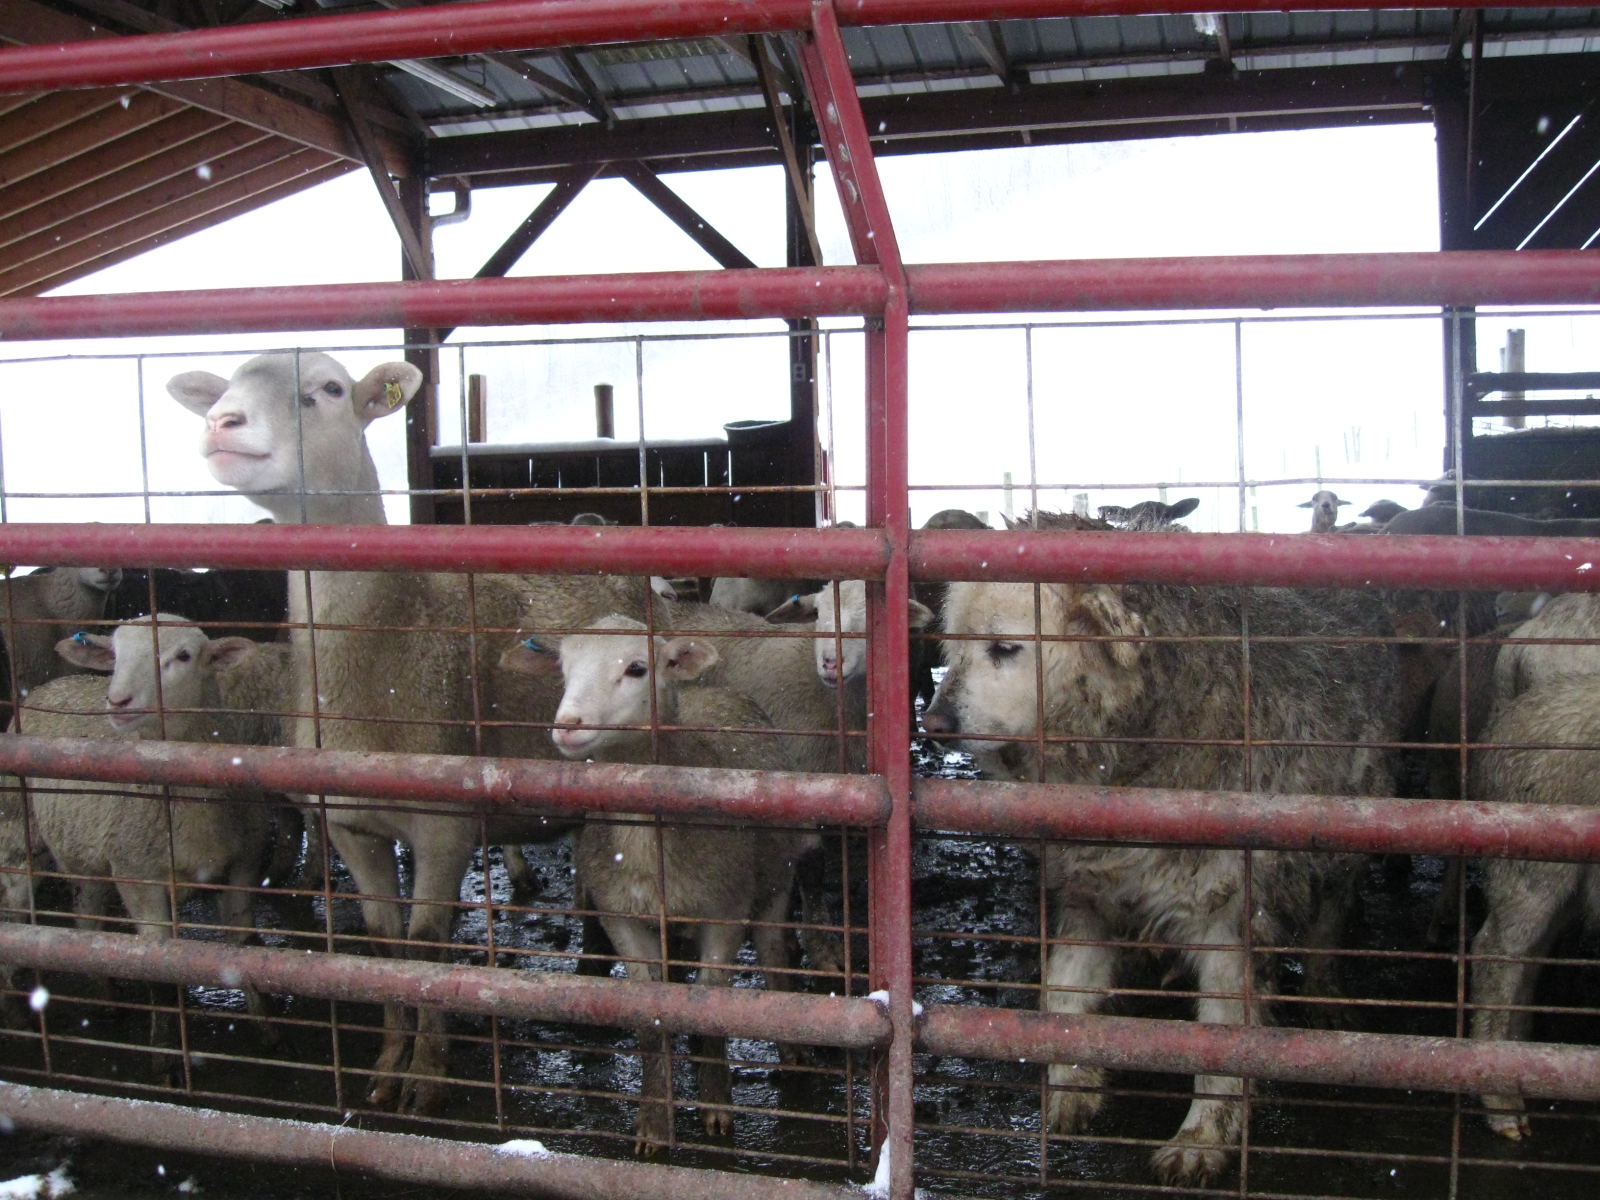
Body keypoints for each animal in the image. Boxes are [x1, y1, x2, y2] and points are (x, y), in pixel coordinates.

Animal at [0, 616, 289, 1067]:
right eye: (115, 656)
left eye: (184, 656)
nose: (117, 701)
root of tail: (51, 686)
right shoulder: (137, 875)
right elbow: (158, 968)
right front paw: (166, 1059)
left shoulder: (243, 865)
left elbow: (244, 948)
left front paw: (271, 1035)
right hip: (16, 834)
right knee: (14, 923)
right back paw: (18, 1019)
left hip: (84, 854)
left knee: (86, 919)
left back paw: (105, 999)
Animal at [500, 616, 818, 1152]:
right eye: (563, 667)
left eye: (637, 668)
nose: (568, 724)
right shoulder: (621, 916)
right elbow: (650, 1013)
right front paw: (653, 1122)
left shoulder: (724, 910)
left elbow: (713, 1000)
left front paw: (716, 1107)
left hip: (776, 884)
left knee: (774, 953)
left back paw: (792, 1054)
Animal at [922, 511, 1399, 1188]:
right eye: (953, 647)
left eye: (1006, 649)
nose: (932, 727)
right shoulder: (1088, 891)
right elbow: (1063, 994)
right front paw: (1068, 1088)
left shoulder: (1233, 912)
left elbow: (1224, 1036)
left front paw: (1202, 1139)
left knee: (1332, 913)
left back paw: (1327, 991)